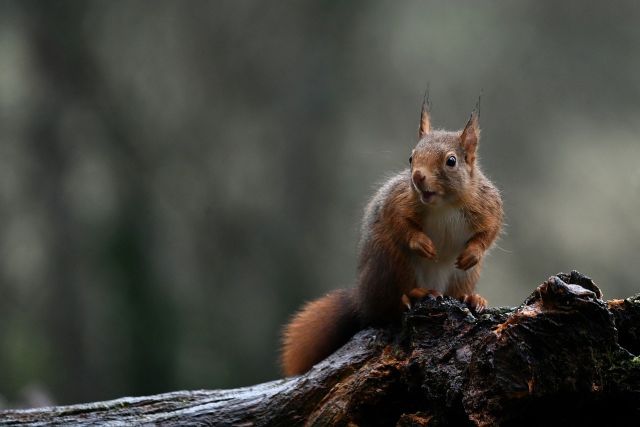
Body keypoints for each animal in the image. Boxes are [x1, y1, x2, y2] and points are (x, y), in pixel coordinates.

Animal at [281, 96, 503, 376]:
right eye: (411, 158)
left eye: (451, 161)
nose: (417, 177)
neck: (444, 205)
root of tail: (361, 299)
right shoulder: (397, 200)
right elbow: (398, 222)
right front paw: (422, 243)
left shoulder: (488, 204)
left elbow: (490, 230)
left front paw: (473, 253)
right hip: (392, 262)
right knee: (387, 308)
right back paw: (414, 295)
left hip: (461, 277)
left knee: (453, 291)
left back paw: (470, 298)